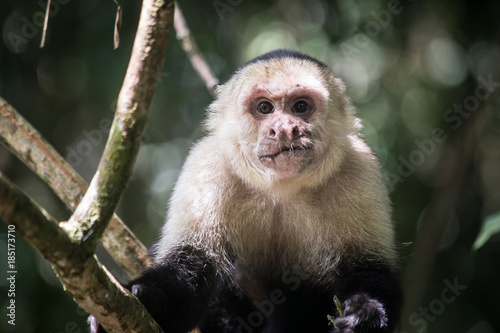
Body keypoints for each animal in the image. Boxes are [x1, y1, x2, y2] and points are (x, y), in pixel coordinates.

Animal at [89, 49, 402, 332]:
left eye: (301, 106)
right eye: (265, 108)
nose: (284, 129)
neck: (281, 189)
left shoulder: (360, 169)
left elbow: (371, 268)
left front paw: (365, 314)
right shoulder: (206, 165)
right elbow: (190, 269)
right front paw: (150, 300)